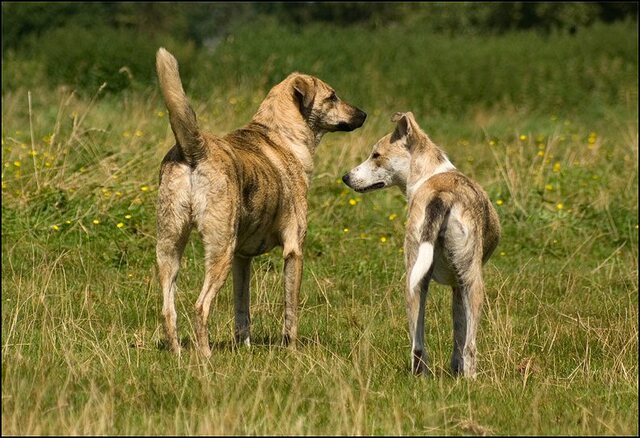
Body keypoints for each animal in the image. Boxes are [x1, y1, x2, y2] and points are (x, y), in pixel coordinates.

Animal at [155, 47, 364, 356]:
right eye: (332, 97)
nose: (364, 114)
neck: (280, 133)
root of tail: (193, 150)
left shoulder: (242, 259)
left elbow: (242, 311)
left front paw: (245, 348)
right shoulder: (294, 250)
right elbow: (291, 312)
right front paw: (291, 351)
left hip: (169, 247)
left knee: (168, 310)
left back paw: (179, 355)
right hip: (220, 249)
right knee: (200, 306)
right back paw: (205, 357)